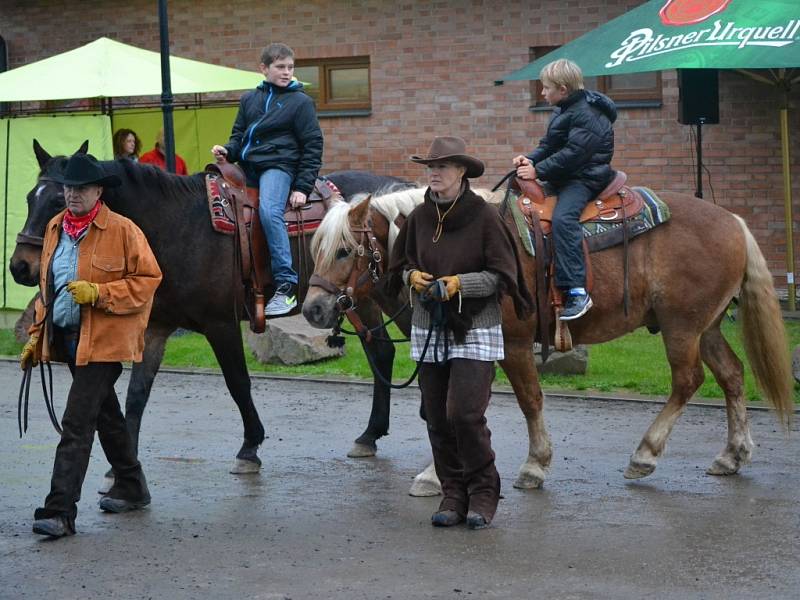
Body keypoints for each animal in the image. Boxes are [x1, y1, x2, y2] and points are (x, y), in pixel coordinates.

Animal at [9, 141, 412, 482]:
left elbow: (238, 383)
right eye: (29, 198)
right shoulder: (156, 327)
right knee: (381, 351)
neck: (177, 227)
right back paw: (370, 434)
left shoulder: (221, 324)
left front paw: (249, 448)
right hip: (361, 298)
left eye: (60, 201)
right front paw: (123, 464)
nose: (20, 267)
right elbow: (137, 393)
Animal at [302, 185, 792, 490]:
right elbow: (442, 408)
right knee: (732, 375)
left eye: (344, 251)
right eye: (316, 250)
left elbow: (525, 401)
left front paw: (533, 465)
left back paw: (646, 455)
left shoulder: (513, 346)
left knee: (688, 381)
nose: (313, 309)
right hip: (706, 327)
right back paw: (732, 455)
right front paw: (438, 474)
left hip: (682, 327)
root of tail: (734, 222)